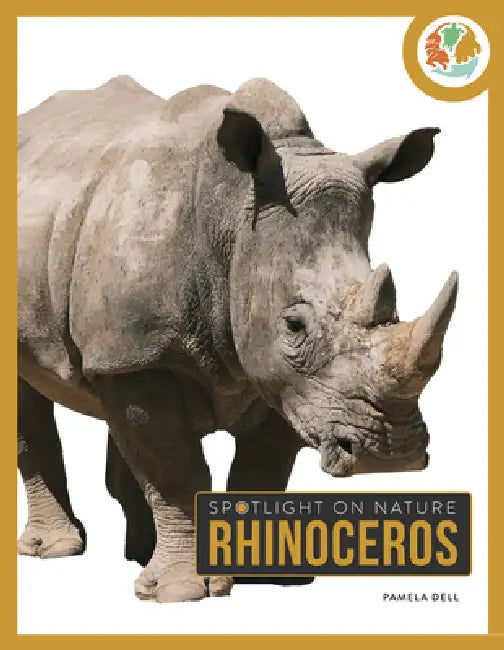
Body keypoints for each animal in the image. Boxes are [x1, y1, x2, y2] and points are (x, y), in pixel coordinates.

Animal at [18, 75, 458, 603]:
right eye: (294, 326)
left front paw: (272, 576)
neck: (229, 216)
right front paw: (181, 593)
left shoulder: (282, 379)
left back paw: (139, 555)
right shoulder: (146, 355)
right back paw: (58, 551)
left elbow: (263, 468)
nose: (390, 454)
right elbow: (173, 467)